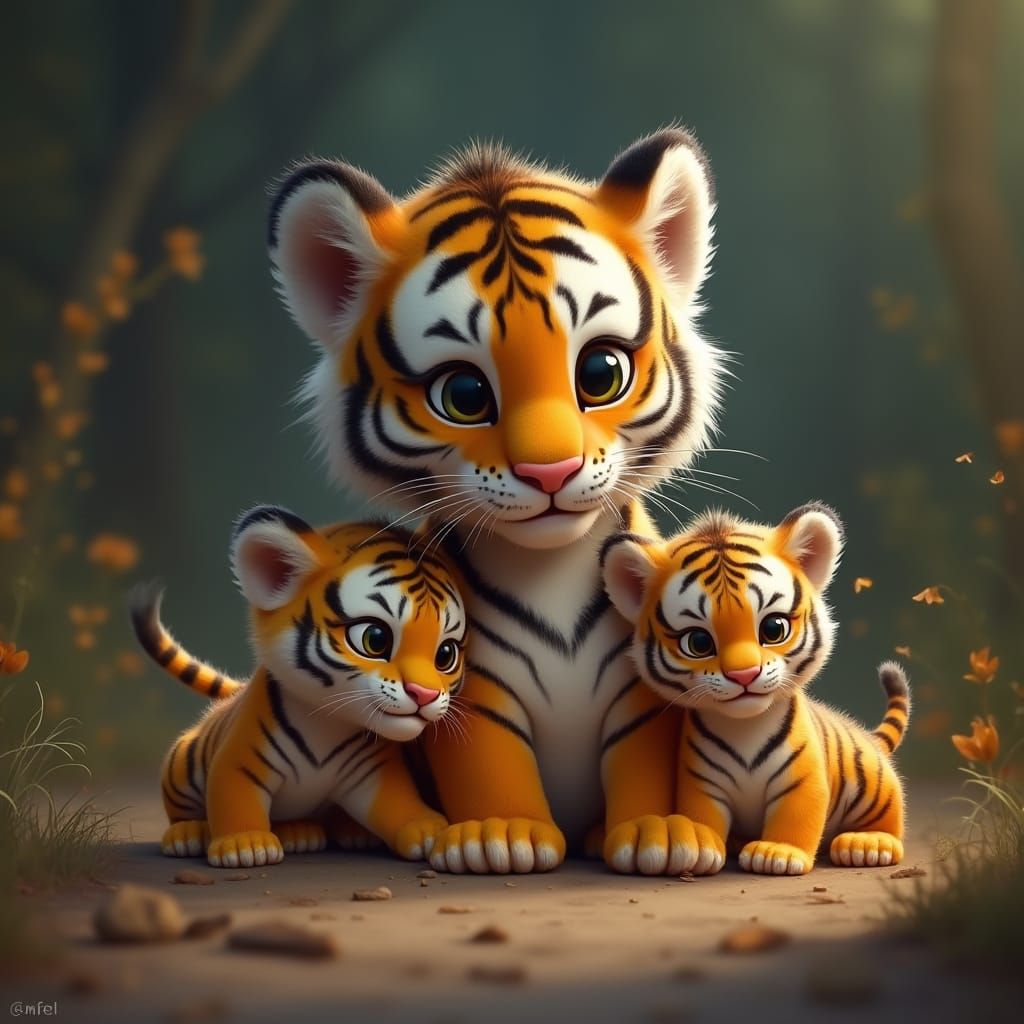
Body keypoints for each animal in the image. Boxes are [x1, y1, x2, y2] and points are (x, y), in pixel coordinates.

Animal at [130, 505, 466, 869]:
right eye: (374, 639)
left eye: (445, 655)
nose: (424, 694)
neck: (327, 724)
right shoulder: (238, 760)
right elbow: (233, 795)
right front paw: (245, 844)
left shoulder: (375, 773)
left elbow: (399, 803)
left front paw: (428, 829)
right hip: (181, 766)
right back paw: (188, 833)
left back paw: (319, 832)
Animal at [267, 128, 727, 874]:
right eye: (464, 394)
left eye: (600, 372)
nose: (550, 470)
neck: (549, 569)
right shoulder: (469, 684)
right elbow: (486, 756)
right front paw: (502, 834)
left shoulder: (643, 686)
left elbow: (644, 758)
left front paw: (658, 831)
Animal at [601, 502, 910, 875]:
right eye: (698, 642)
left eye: (773, 629)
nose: (744, 674)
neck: (744, 728)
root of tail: (868, 739)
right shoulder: (702, 784)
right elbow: (700, 814)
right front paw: (703, 846)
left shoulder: (802, 778)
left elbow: (797, 814)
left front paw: (778, 854)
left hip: (874, 785)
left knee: (891, 817)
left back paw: (869, 844)